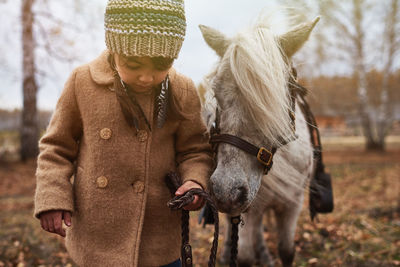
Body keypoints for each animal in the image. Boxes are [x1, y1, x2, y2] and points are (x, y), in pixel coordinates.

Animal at [199, 15, 318, 267]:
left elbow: (286, 250)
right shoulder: (247, 209)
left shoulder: (292, 204)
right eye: (216, 91)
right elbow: (243, 255)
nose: (227, 190)